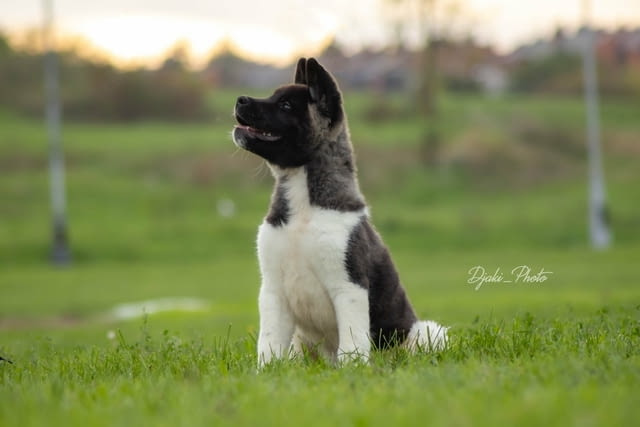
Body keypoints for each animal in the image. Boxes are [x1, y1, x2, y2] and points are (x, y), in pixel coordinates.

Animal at [232, 55, 448, 366]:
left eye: (285, 105)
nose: (240, 100)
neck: (305, 205)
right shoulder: (273, 290)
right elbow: (269, 344)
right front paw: (266, 371)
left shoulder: (349, 286)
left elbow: (352, 342)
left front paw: (352, 370)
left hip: (426, 333)